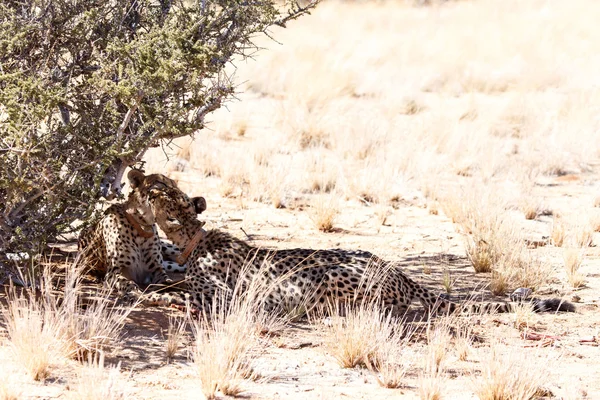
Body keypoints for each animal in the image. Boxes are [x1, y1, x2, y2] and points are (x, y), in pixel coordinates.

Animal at [77, 170, 199, 300]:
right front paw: (135, 293)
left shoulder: (157, 268)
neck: (143, 226)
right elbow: (128, 283)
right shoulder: (114, 271)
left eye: (175, 185)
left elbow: (165, 280)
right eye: (162, 183)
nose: (178, 195)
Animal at [138, 177, 576, 318]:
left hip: (330, 276)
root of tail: (398, 271)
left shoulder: (223, 294)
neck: (192, 240)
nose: (144, 179)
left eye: (161, 189)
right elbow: (170, 278)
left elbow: (187, 293)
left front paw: (161, 298)